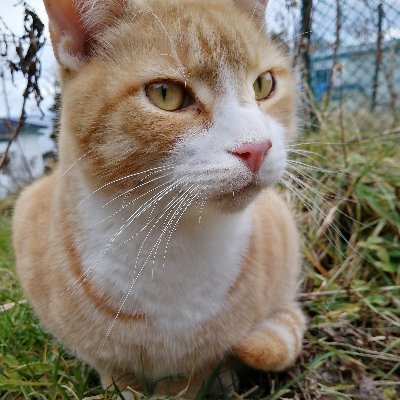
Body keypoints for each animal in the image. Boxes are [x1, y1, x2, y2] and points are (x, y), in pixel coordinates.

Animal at [13, 0, 306, 396]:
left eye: (263, 85)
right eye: (166, 94)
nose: (257, 148)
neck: (166, 239)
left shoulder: (199, 365)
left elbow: (189, 382)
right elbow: (115, 375)